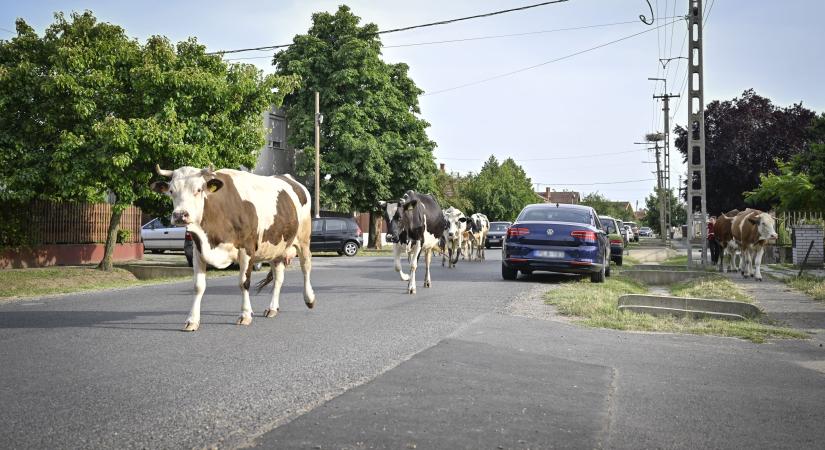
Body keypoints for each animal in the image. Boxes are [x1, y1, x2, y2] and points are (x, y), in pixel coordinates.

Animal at [150, 165, 314, 330]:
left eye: (198, 189)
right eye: (172, 191)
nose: (180, 215)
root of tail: (288, 178)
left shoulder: (247, 248)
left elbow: (244, 282)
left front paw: (245, 315)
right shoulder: (198, 251)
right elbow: (198, 286)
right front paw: (192, 320)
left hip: (304, 238)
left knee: (305, 266)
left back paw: (309, 299)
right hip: (277, 247)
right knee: (278, 278)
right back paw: (272, 308)